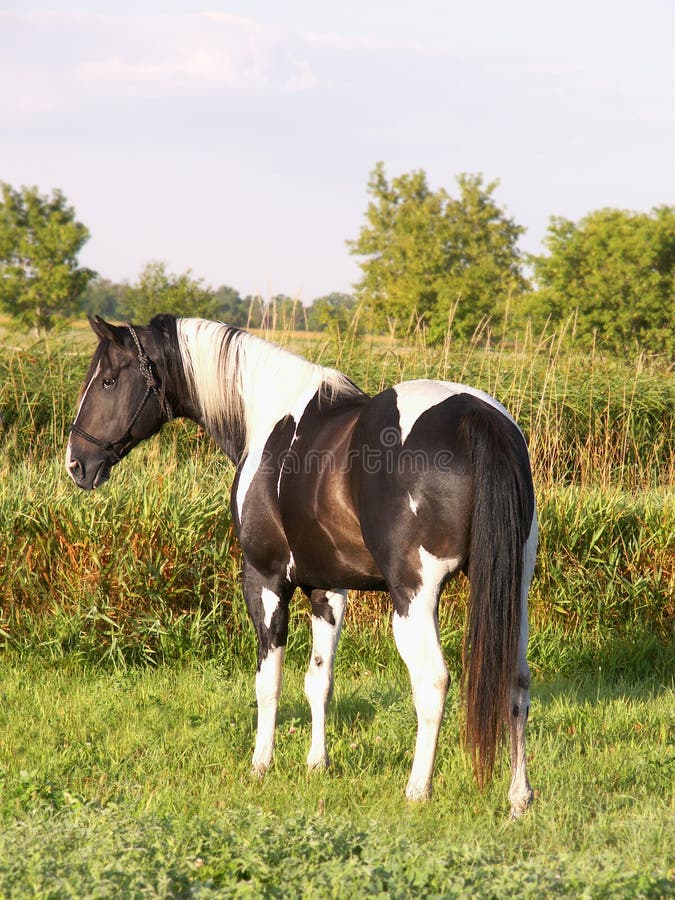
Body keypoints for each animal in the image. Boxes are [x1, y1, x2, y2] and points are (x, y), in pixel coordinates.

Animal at [66, 314, 536, 816]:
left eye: (109, 380)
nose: (76, 463)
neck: (269, 418)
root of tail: (476, 417)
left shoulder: (266, 580)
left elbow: (268, 681)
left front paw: (261, 764)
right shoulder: (327, 589)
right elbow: (319, 680)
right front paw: (317, 764)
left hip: (414, 600)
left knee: (433, 682)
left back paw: (417, 790)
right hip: (513, 589)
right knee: (517, 684)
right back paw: (518, 797)